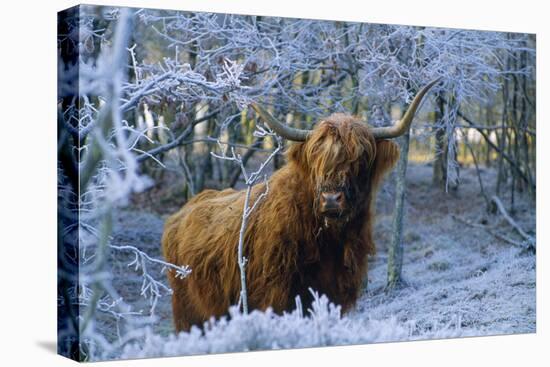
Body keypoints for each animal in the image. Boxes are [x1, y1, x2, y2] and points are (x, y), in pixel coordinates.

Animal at [163, 80, 440, 330]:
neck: (328, 242)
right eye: (316, 158)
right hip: (188, 314)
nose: (331, 199)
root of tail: (180, 213)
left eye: (361, 159)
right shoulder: (274, 297)